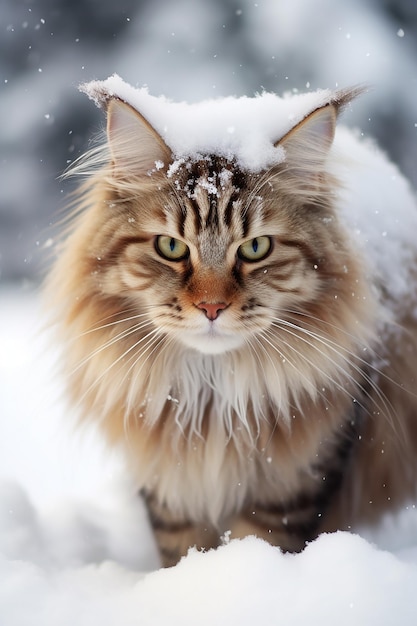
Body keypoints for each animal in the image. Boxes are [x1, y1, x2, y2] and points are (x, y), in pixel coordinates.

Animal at [47, 74, 416, 564]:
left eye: (256, 248)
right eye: (170, 247)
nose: (211, 307)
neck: (211, 394)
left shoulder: (296, 480)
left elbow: (259, 545)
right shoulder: (170, 488)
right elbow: (184, 552)